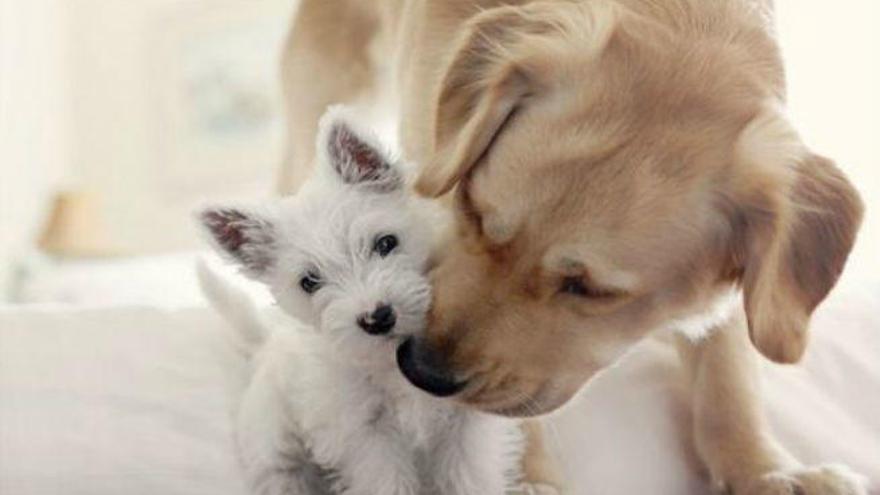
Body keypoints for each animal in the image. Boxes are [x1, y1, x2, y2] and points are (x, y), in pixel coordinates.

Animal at [198, 108, 524, 495]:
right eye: (310, 282)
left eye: (385, 243)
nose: (377, 318)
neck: (391, 360)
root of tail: (263, 348)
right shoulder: (367, 438)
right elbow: (388, 483)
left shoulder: (465, 428)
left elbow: (468, 479)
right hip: (277, 456)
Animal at [282, 0, 868, 495]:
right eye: (471, 209)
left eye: (589, 290)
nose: (419, 369)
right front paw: (522, 478)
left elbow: (728, 370)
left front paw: (764, 469)